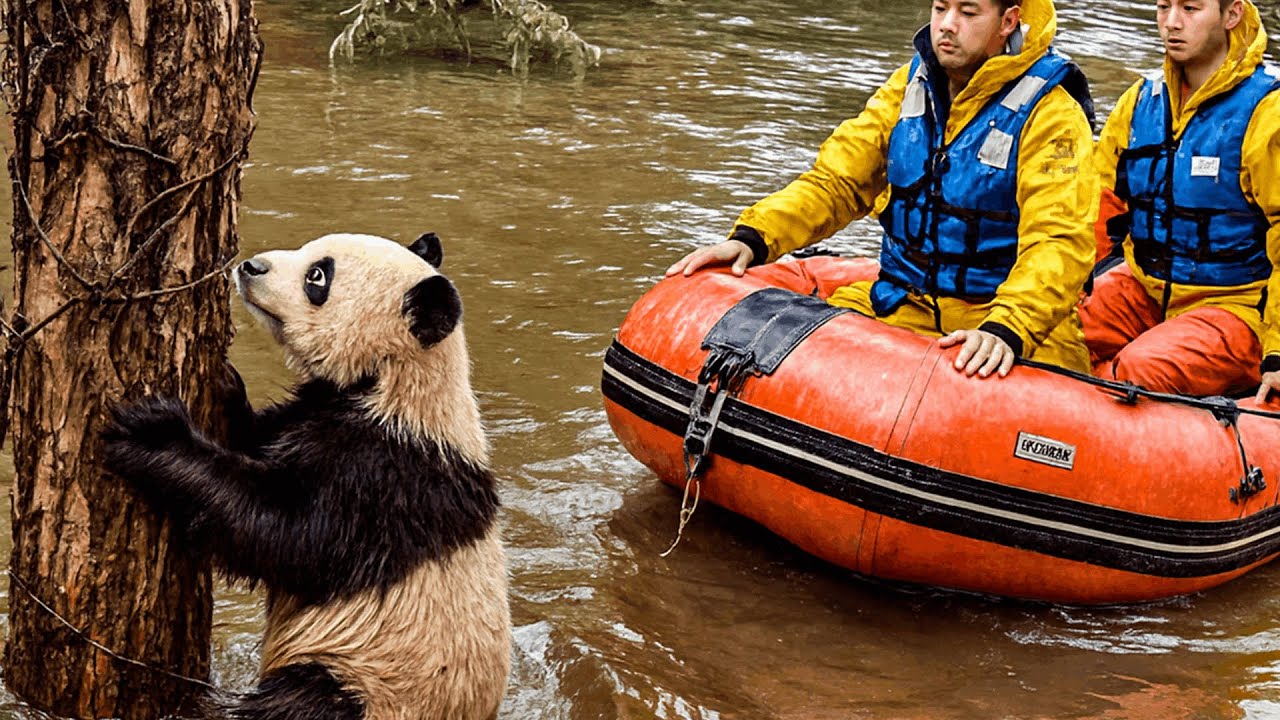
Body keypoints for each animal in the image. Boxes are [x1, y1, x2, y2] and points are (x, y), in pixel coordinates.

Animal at [102, 232, 510, 720]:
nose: (250, 267)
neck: (400, 381)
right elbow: (263, 441)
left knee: (300, 703)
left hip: (367, 679)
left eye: (317, 277)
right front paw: (224, 380)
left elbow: (290, 536)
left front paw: (153, 433)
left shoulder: (384, 477)